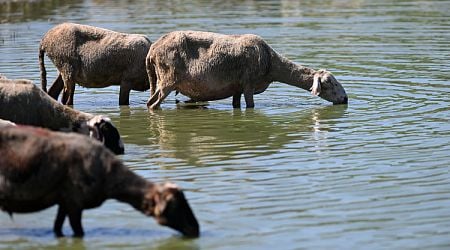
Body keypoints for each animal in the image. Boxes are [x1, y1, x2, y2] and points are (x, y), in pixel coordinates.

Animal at [0, 126, 200, 237]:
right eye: (176, 206)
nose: (196, 229)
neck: (110, 177)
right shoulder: (74, 203)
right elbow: (78, 233)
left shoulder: (64, 202)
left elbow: (57, 229)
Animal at [147, 30, 348, 109]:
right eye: (330, 83)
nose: (345, 99)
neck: (271, 65)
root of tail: (152, 50)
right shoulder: (249, 84)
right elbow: (250, 106)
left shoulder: (237, 87)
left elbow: (236, 105)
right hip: (168, 79)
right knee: (152, 105)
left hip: (159, 80)